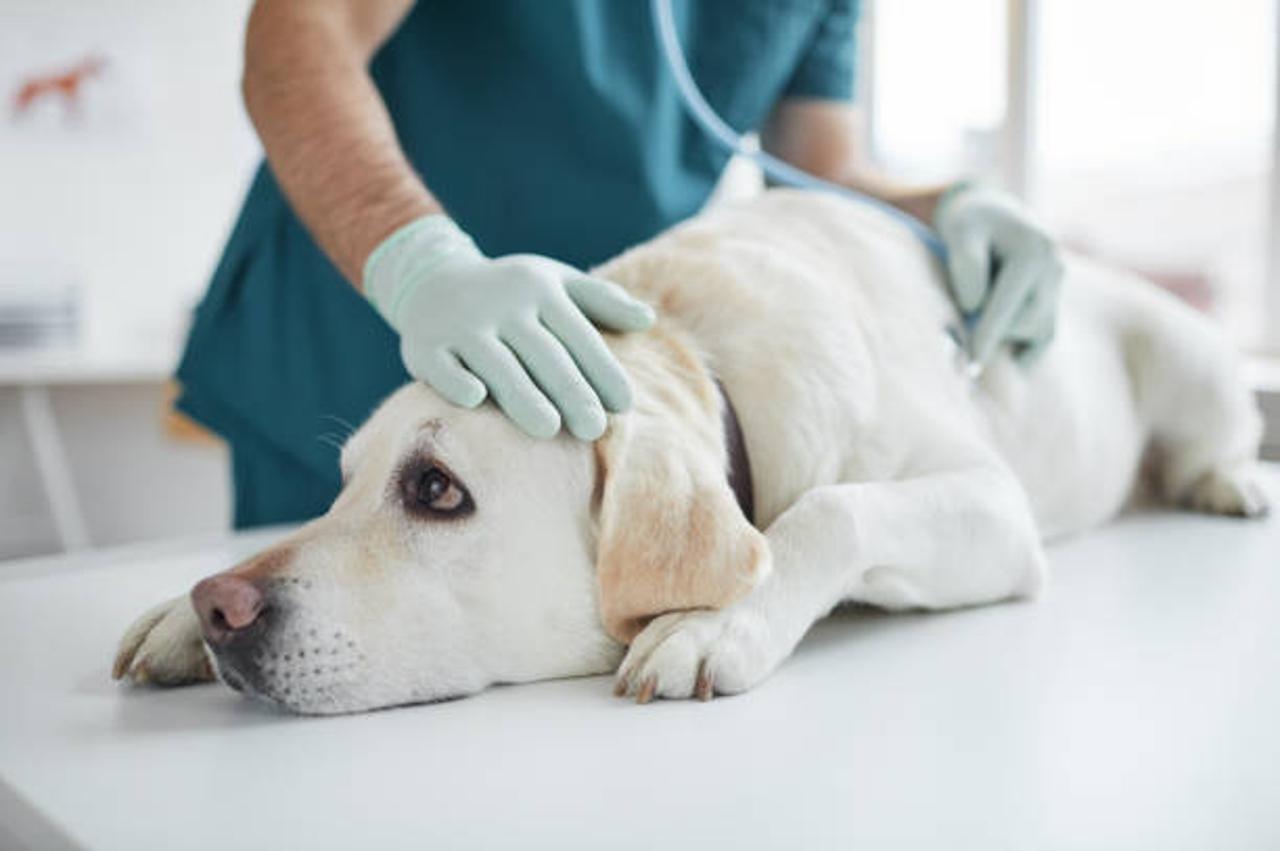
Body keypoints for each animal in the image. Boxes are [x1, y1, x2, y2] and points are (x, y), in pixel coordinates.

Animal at [113, 190, 1268, 714]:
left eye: (436, 488)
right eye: (343, 483)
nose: (220, 606)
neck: (694, 354)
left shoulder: (992, 506)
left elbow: (829, 508)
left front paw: (712, 621)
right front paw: (172, 613)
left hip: (1190, 357)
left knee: (1215, 434)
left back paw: (1229, 482)